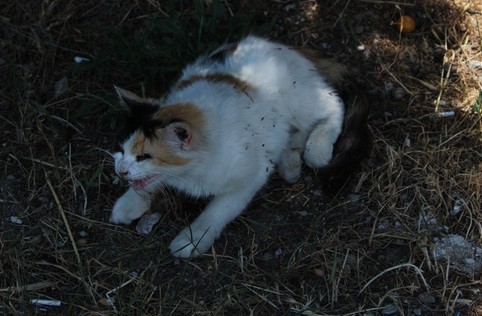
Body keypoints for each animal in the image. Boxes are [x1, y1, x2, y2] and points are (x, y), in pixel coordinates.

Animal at [109, 35, 370, 258]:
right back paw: (289, 162)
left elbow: (216, 212)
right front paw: (129, 203)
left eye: (144, 156)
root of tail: (288, 48)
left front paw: (191, 240)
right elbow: (149, 182)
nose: (120, 171)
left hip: (300, 99)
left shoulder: (250, 176)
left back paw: (317, 149)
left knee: (333, 103)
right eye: (121, 149)